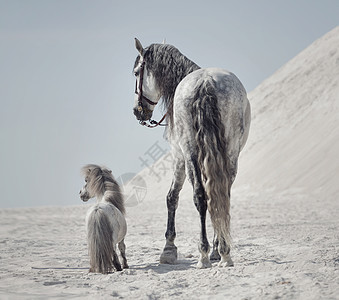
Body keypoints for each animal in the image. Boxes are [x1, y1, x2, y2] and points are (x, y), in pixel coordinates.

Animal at [133, 39, 252, 268]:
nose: (137, 111)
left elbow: (172, 197)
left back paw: (206, 253)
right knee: (219, 194)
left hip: (190, 152)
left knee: (202, 195)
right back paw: (222, 252)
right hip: (229, 153)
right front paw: (217, 248)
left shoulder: (178, 156)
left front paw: (169, 249)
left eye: (136, 73)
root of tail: (205, 82)